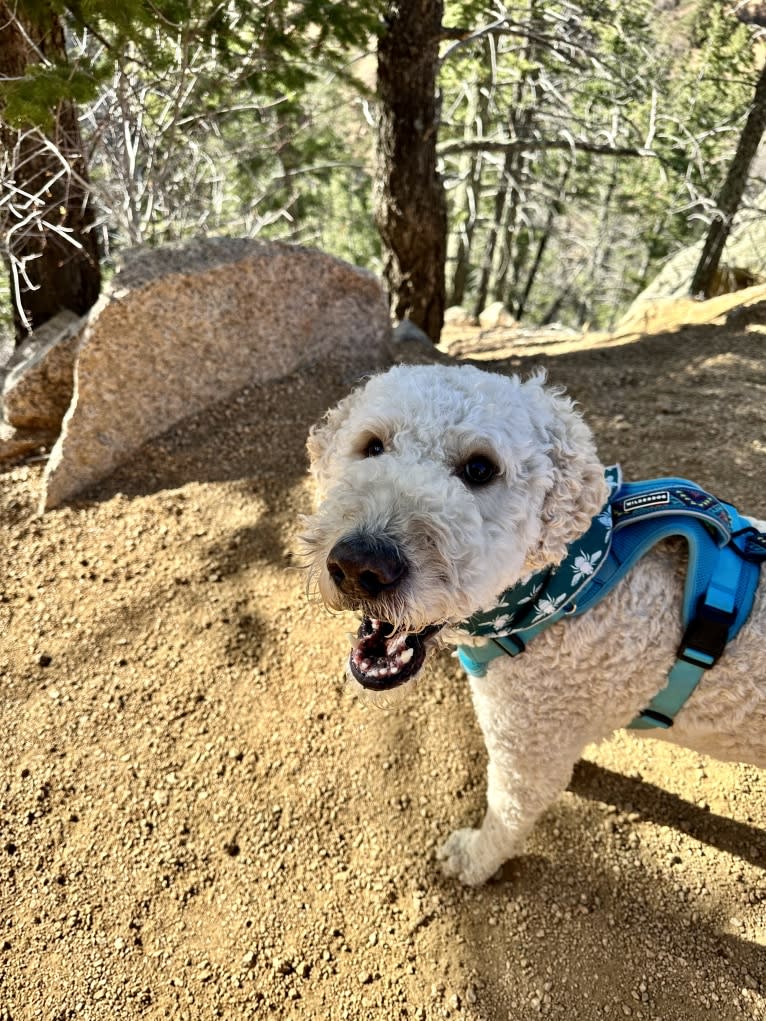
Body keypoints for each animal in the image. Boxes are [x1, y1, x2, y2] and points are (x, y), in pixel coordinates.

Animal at [302, 365, 766, 886]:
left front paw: (473, 859)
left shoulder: (525, 749)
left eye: (480, 469)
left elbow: (506, 814)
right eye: (373, 446)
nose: (360, 564)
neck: (570, 586)